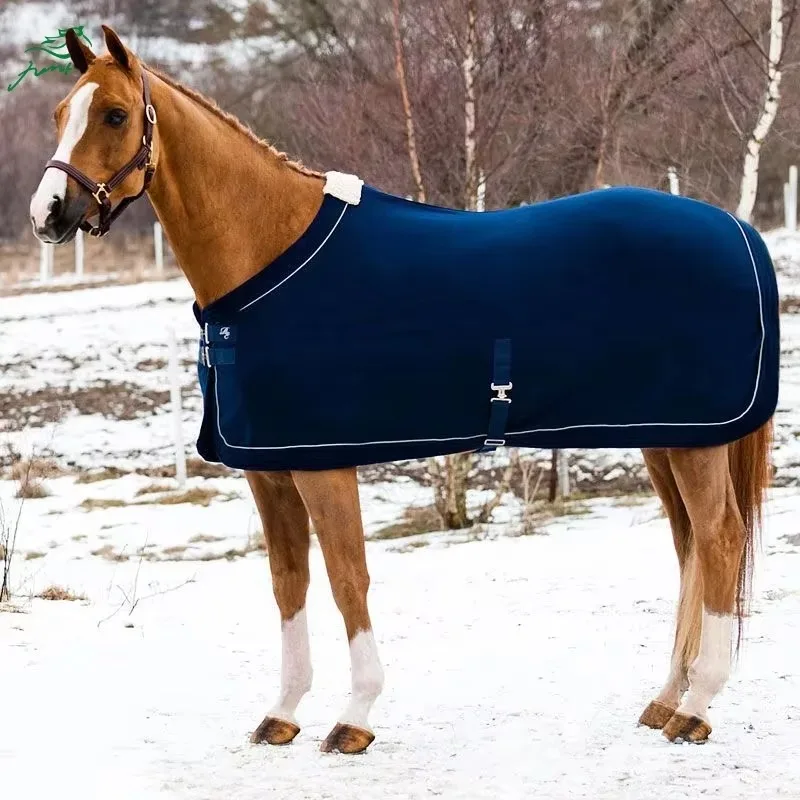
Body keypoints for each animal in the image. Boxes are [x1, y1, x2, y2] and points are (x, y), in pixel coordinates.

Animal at [30, 26, 774, 754]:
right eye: (60, 113)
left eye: (115, 114)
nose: (49, 213)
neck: (269, 251)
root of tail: (737, 229)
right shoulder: (268, 472)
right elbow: (289, 582)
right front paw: (283, 712)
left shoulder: (323, 464)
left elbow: (347, 576)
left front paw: (355, 715)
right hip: (665, 439)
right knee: (689, 547)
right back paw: (667, 698)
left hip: (694, 443)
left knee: (719, 539)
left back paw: (697, 709)